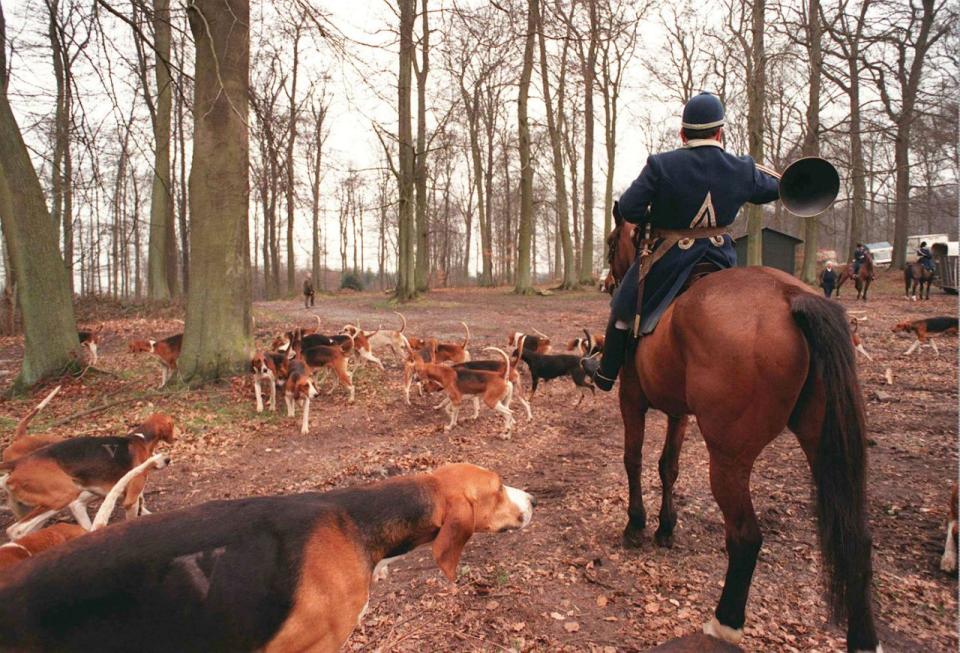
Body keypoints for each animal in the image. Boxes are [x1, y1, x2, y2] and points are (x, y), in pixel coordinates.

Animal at [604, 215, 880, 652]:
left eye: (613, 243)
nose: (609, 282)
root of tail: (789, 296)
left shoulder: (631, 399)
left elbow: (633, 460)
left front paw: (636, 525)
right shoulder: (679, 412)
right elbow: (669, 467)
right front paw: (665, 527)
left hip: (729, 458)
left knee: (746, 537)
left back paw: (725, 623)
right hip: (822, 445)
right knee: (856, 538)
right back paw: (863, 638)